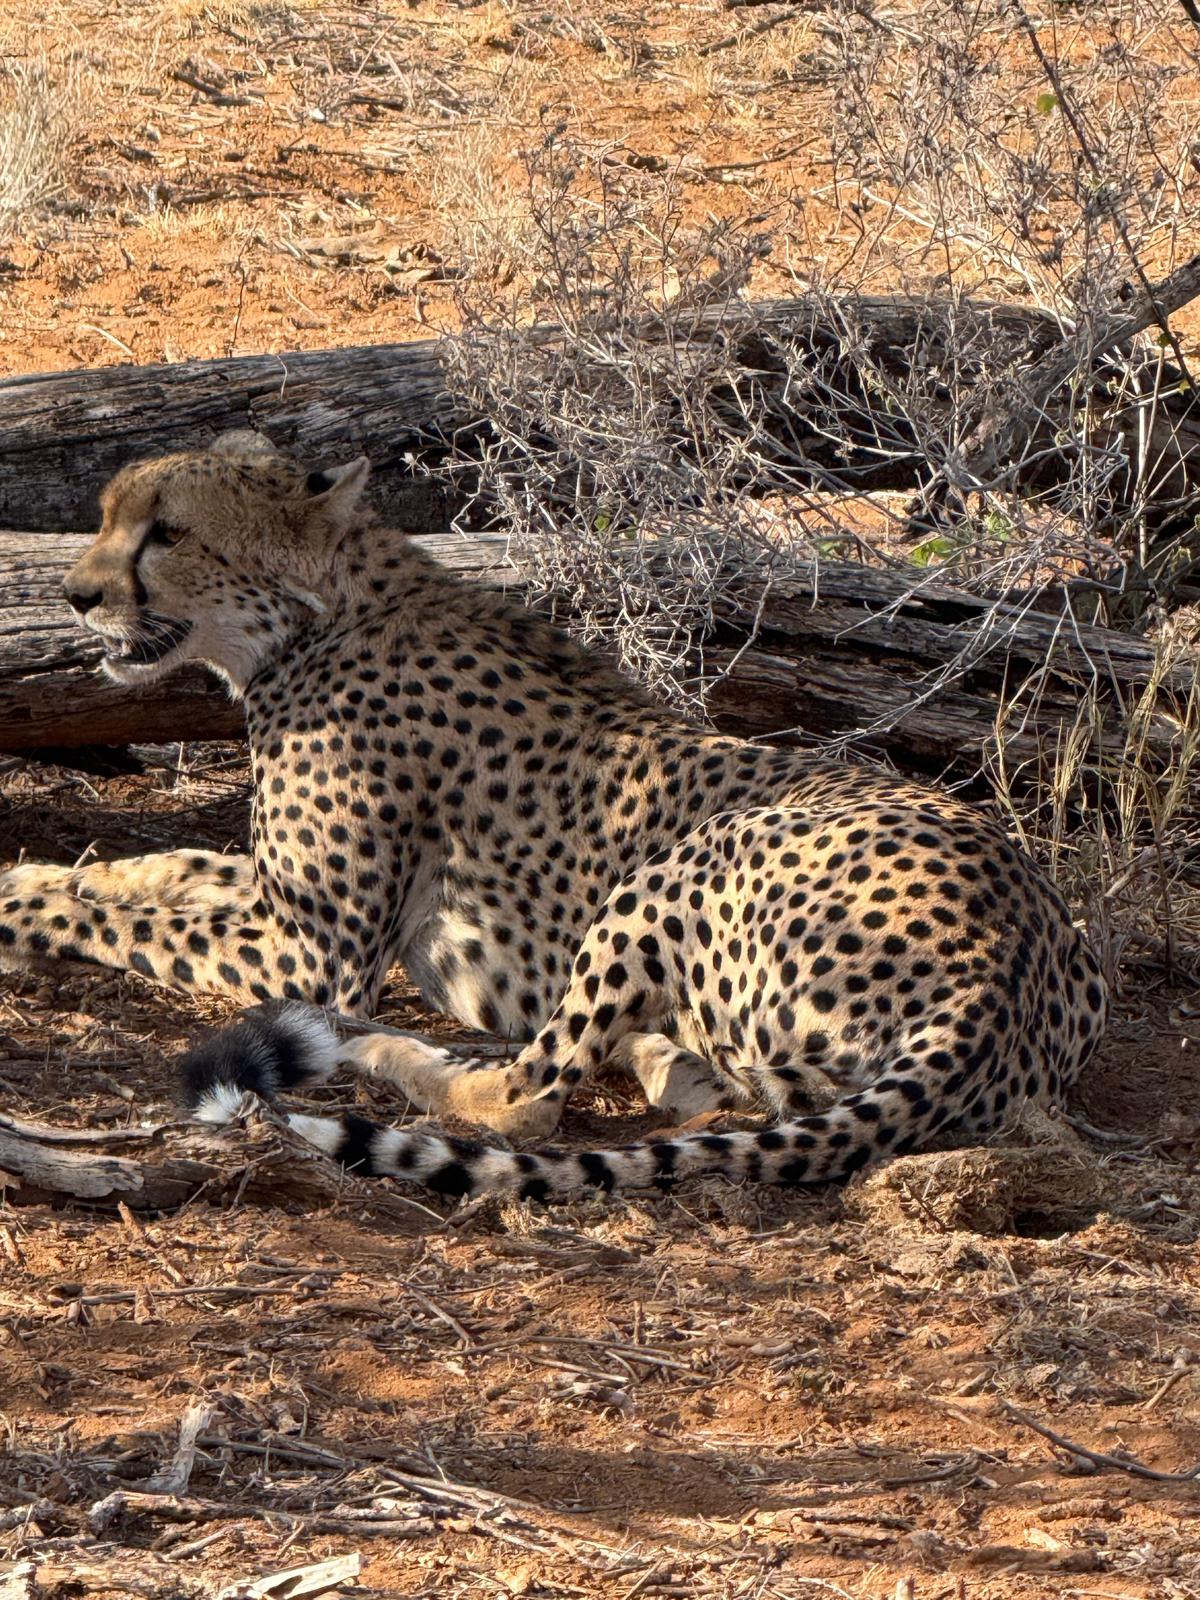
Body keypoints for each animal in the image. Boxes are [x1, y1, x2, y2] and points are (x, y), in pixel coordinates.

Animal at [0, 431, 1109, 1201]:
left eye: (169, 532)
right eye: (108, 515)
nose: (76, 594)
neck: (318, 619)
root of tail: (1004, 961)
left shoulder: (314, 953)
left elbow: (132, 922)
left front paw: (24, 910)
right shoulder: (281, 901)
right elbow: (172, 869)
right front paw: (44, 871)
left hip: (687, 860)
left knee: (522, 1098)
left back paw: (384, 1052)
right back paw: (667, 1060)